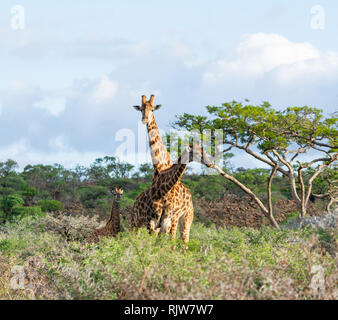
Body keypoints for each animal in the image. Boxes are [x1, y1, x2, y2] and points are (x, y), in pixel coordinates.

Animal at [132, 94, 195, 240]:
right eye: (141, 109)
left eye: (152, 109)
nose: (144, 119)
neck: (160, 167)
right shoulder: (155, 219)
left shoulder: (170, 217)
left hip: (186, 218)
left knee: (183, 239)